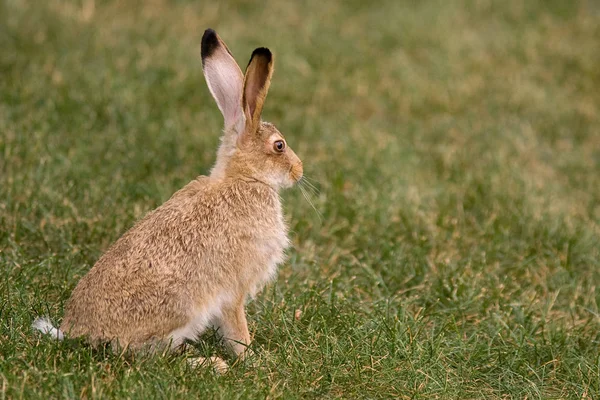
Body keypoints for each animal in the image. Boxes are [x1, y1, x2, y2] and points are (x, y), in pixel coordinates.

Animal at [32, 27, 302, 366]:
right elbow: (237, 330)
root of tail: (74, 334)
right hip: (180, 308)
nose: (299, 170)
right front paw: (252, 359)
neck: (243, 178)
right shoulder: (233, 290)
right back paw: (207, 364)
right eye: (279, 146)